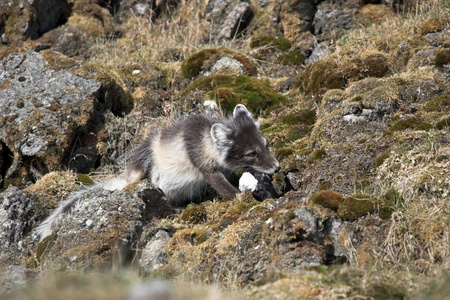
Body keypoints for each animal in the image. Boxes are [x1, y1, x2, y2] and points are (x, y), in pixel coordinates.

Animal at [37, 104, 280, 240]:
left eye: (265, 145)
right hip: (144, 168)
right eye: (251, 153)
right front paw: (244, 199)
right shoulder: (205, 168)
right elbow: (225, 188)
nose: (277, 167)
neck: (204, 141)